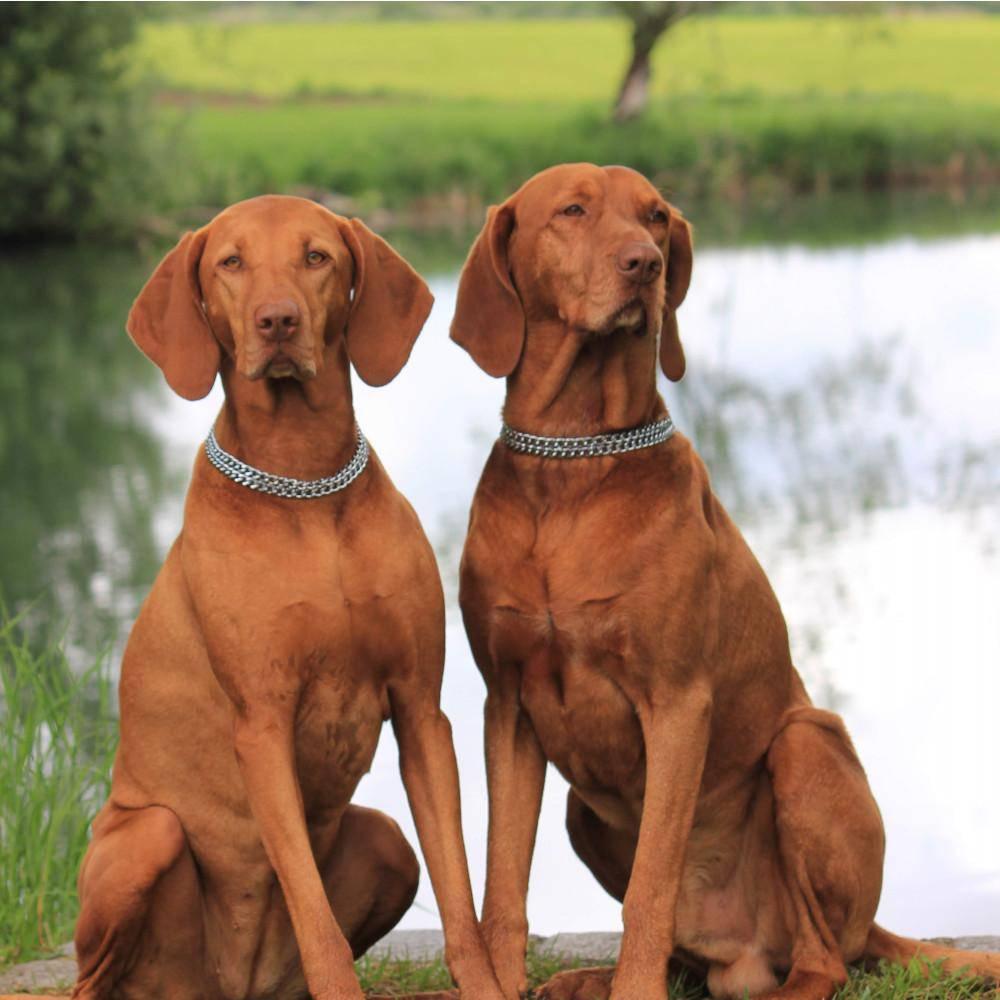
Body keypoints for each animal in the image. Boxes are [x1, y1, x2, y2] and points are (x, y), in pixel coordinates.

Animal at [17, 195, 508, 1000]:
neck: (304, 486)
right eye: (231, 262)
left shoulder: (420, 708)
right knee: (95, 979)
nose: (277, 321)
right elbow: (317, 921)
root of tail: (226, 989)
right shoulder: (264, 725)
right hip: (148, 835)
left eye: (316, 257)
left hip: (384, 839)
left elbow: (460, 899)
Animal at [452, 164, 1000, 1000]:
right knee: (697, 958)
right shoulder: (507, 708)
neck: (572, 462)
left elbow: (649, 887)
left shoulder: (678, 705)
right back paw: (585, 978)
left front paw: (632, 992)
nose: (644, 265)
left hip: (807, 743)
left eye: (654, 216)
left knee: (824, 958)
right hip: (584, 810)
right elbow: (503, 883)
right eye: (573, 210)